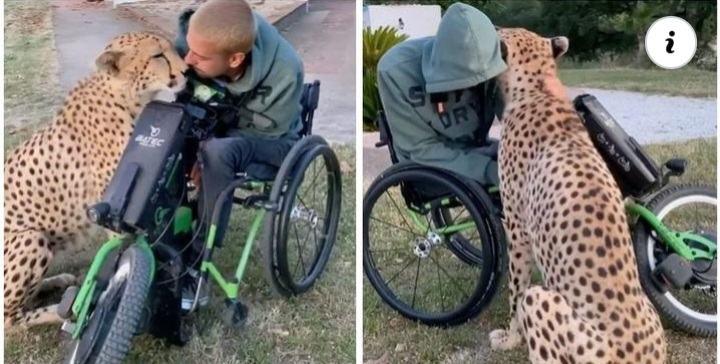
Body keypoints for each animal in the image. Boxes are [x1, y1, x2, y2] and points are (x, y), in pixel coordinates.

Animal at [3, 32, 188, 332]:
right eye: (157, 56)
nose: (185, 71)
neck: (128, 97)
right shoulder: (116, 212)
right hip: (31, 238)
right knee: (9, 319)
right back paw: (61, 310)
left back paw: (56, 282)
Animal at [490, 29, 668, 364]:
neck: (539, 85)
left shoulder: (517, 230)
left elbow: (515, 292)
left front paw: (509, 338)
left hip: (544, 303)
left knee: (531, 302)